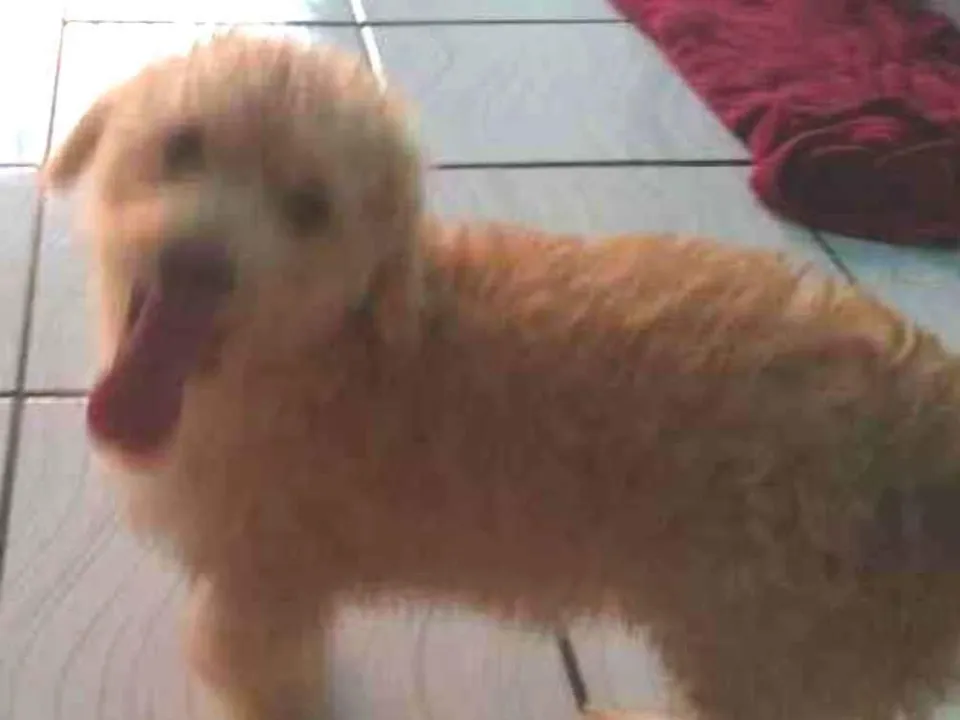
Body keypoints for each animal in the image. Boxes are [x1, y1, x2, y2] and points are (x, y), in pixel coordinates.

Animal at [43, 32, 960, 720]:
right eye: (183, 147)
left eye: (309, 208)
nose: (195, 266)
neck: (317, 348)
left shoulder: (260, 579)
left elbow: (255, 672)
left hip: (768, 654)